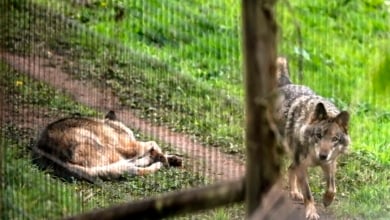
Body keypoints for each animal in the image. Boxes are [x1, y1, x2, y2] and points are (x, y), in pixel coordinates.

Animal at [32, 111, 182, 181]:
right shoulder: (130, 146)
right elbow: (153, 143)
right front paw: (163, 157)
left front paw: (172, 158)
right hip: (108, 149)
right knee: (133, 167)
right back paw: (158, 162)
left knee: (129, 165)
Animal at [274, 57, 350, 219]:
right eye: (318, 135)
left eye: (335, 139)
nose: (323, 155)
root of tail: (288, 83)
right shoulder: (303, 166)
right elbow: (308, 194)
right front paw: (312, 212)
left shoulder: (330, 164)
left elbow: (332, 188)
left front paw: (327, 200)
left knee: (290, 169)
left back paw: (295, 193)